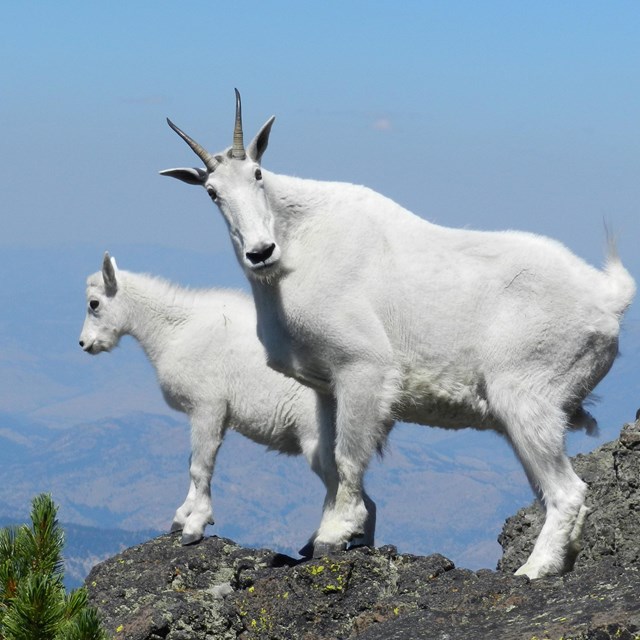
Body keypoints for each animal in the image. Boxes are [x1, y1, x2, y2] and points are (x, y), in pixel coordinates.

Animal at [161, 91, 636, 580]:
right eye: (212, 192)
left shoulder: (361, 367)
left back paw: (533, 569)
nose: (260, 252)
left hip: (526, 396)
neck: (296, 249)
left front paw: (336, 535)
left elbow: (349, 455)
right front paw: (326, 535)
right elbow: (330, 456)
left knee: (567, 491)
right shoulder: (326, 385)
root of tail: (607, 299)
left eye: (257, 174)